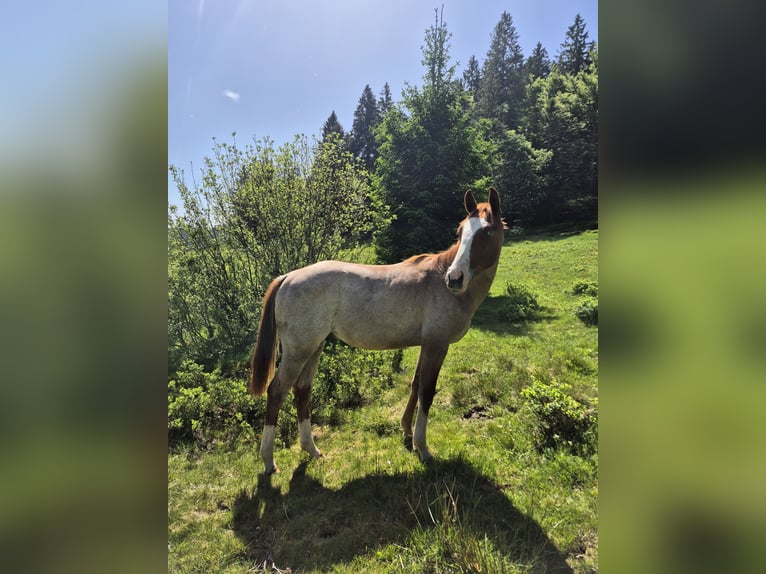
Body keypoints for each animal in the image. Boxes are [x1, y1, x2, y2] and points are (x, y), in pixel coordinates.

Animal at [250, 188, 506, 474]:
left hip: (314, 347)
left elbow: (415, 384)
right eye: (461, 231)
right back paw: (268, 460)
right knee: (277, 392)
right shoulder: (437, 345)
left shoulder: (426, 345)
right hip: (298, 351)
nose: (455, 278)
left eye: (487, 232)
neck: (440, 284)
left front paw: (407, 432)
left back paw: (312, 450)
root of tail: (287, 278)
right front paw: (423, 447)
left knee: (302, 390)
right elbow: (426, 392)